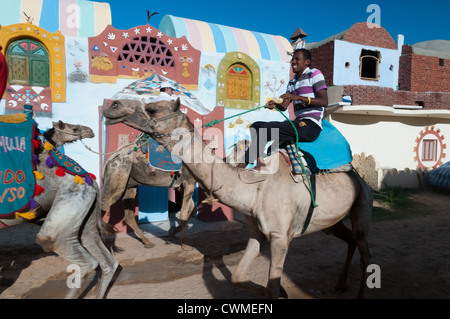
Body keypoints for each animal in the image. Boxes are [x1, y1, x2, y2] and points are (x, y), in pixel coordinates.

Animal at [0, 120, 119, 300]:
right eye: (74, 128)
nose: (90, 131)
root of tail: (92, 181)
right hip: (85, 220)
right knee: (107, 261)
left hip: (67, 209)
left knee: (75, 255)